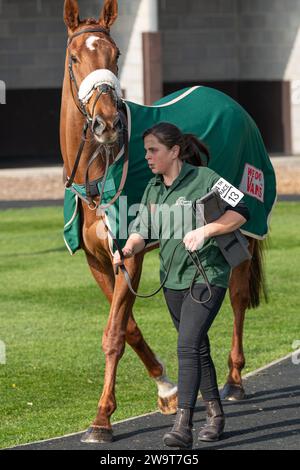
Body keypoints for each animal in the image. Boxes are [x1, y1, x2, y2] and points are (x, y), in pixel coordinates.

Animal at [59, 0, 266, 442]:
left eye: (116, 55)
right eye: (75, 57)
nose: (107, 123)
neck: (97, 173)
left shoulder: (128, 254)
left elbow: (114, 334)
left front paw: (101, 419)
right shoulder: (98, 261)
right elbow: (129, 327)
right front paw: (168, 389)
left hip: (247, 219)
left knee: (238, 296)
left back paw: (235, 379)